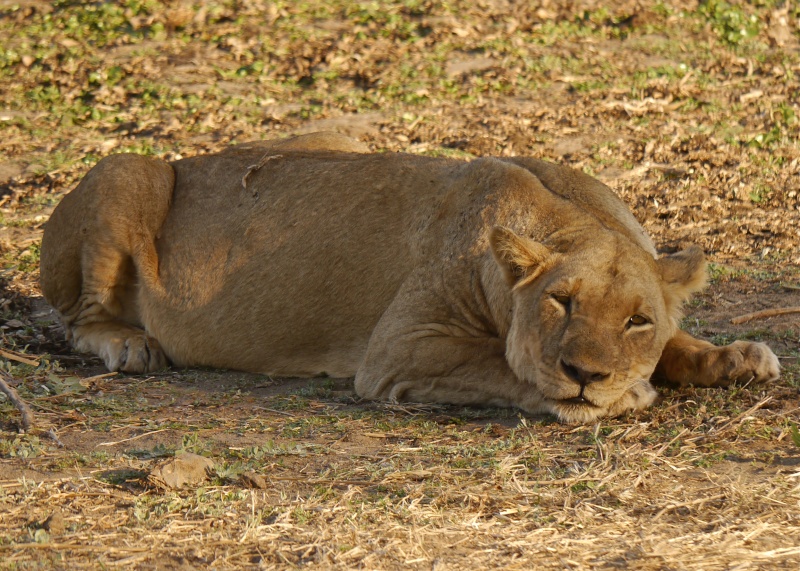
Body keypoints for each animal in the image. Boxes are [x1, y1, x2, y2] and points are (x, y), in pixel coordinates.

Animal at [40, 132, 780, 422]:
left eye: (636, 320)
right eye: (560, 302)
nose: (584, 374)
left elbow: (680, 343)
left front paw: (735, 357)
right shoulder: (400, 347)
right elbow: (495, 365)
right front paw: (621, 394)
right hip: (128, 170)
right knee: (76, 319)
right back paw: (129, 344)